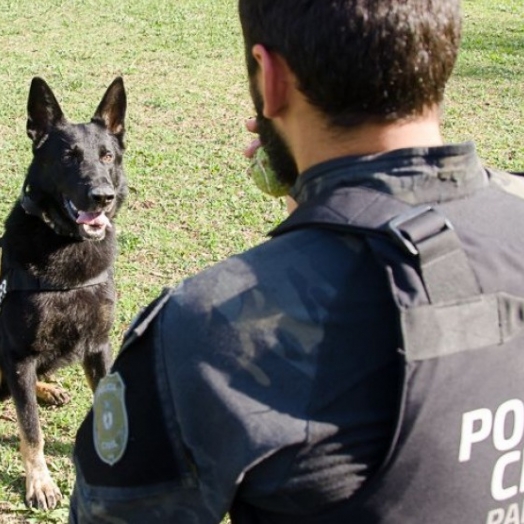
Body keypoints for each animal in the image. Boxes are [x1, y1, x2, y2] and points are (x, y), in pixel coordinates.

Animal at [0, 77, 127, 508]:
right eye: (69, 158)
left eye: (107, 156)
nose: (102, 196)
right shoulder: (18, 354)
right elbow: (31, 430)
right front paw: (40, 482)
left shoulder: (99, 345)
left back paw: (48, 388)